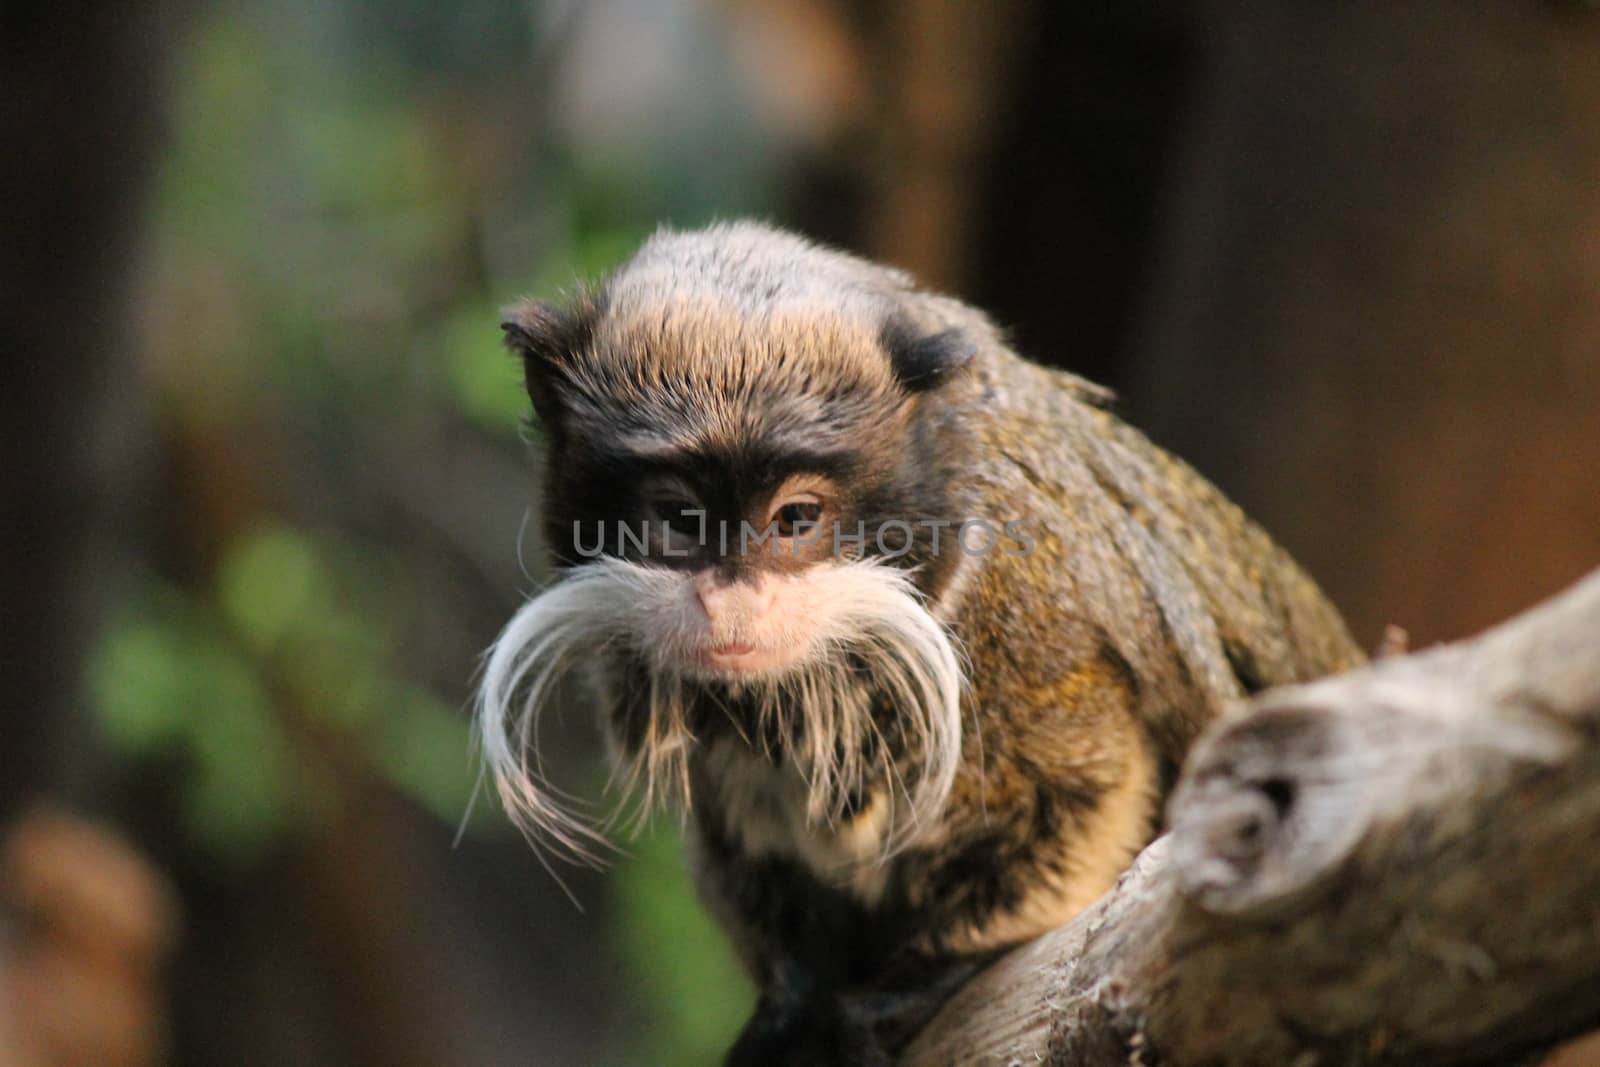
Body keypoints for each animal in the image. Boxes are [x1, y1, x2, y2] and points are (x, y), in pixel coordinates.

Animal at [476, 220, 1363, 1062]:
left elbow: (1084, 794)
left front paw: (913, 981)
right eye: (681, 516)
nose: (731, 603)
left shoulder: (1024, 614)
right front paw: (796, 997)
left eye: (795, 518)